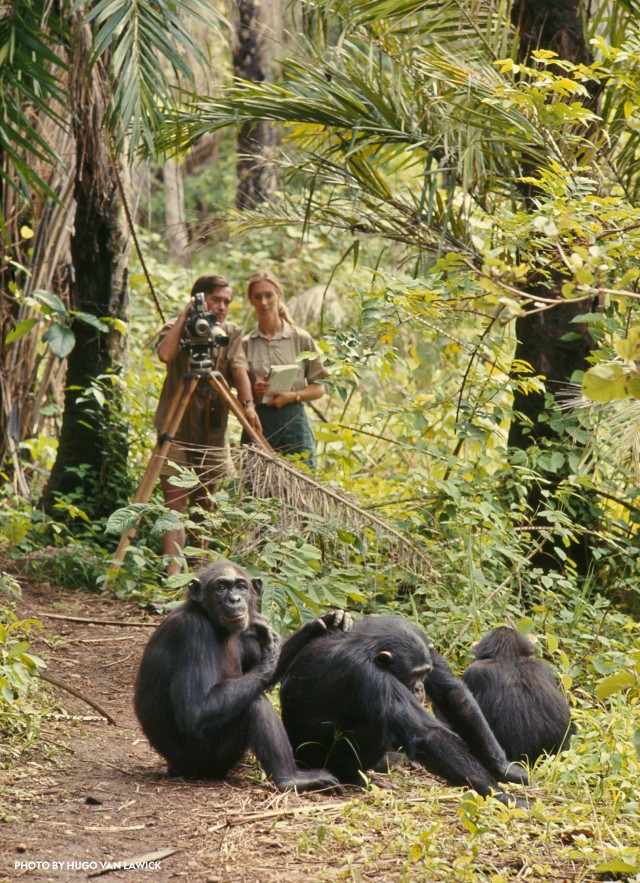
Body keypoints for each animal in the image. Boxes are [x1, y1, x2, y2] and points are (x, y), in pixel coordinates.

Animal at [133, 564, 348, 792]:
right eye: (221, 587)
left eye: (241, 587)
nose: (234, 599)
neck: (211, 620)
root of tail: (174, 767)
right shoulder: (191, 632)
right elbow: (195, 711)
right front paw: (271, 647)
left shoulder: (244, 632)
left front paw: (324, 623)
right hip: (206, 760)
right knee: (254, 703)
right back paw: (290, 778)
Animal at [278, 616, 528, 808]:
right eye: (413, 675)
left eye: (424, 673)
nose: (419, 688)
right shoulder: (368, 674)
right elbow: (427, 734)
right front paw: (503, 797)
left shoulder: (422, 642)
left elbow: (451, 692)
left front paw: (504, 769)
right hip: (313, 758)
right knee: (378, 724)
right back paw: (355, 778)